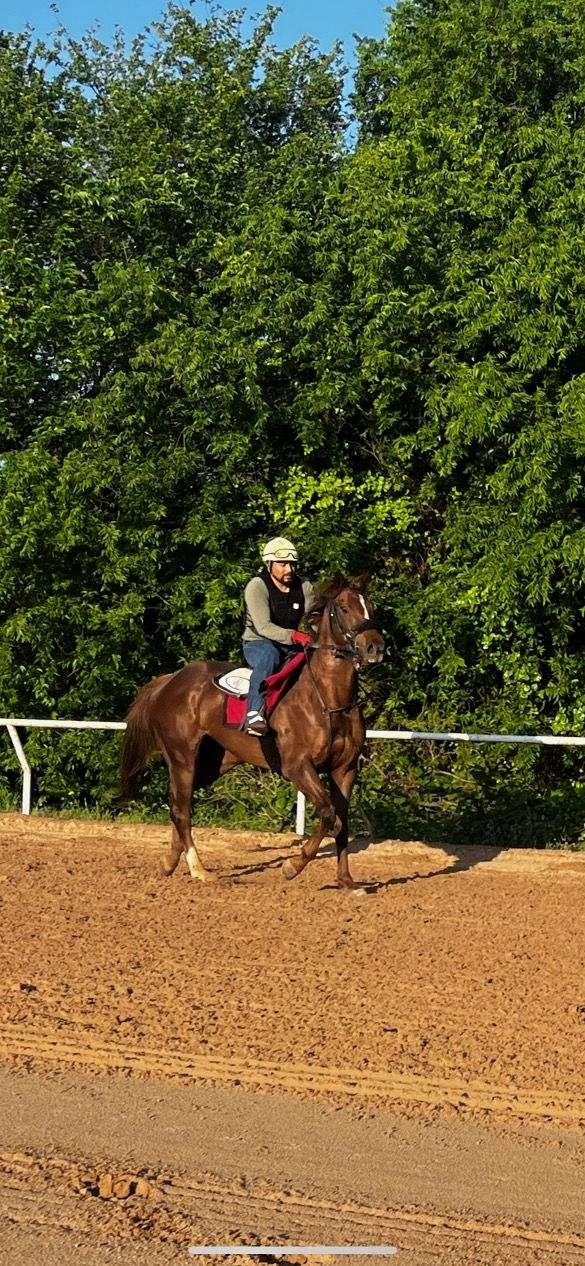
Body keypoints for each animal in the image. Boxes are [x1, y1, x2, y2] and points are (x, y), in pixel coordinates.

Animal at [119, 575, 385, 889]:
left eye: (370, 606)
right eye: (343, 607)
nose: (375, 647)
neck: (329, 700)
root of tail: (170, 680)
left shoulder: (344, 769)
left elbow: (341, 820)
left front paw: (346, 880)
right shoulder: (297, 767)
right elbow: (330, 815)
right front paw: (292, 866)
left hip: (213, 763)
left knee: (177, 804)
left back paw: (170, 862)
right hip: (182, 757)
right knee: (182, 809)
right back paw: (199, 869)